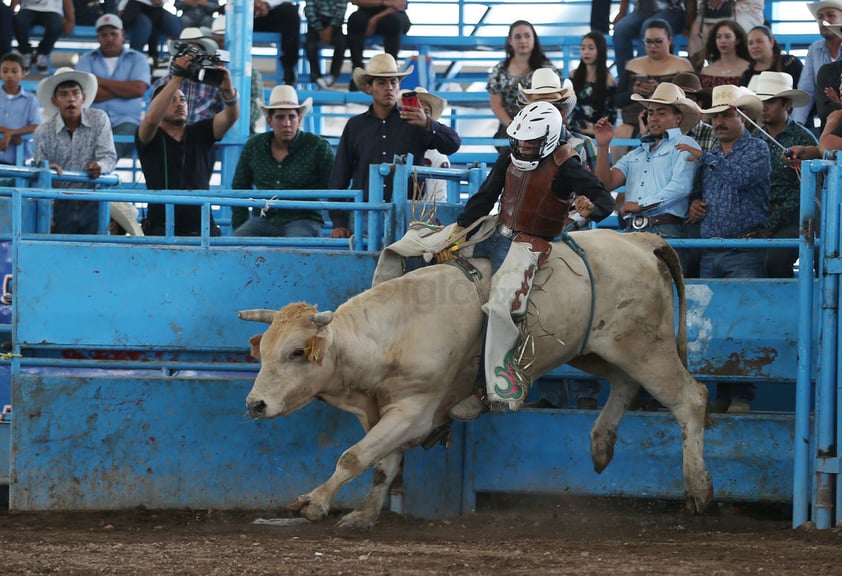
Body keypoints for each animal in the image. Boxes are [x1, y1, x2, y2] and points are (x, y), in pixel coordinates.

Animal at [241, 228, 708, 528]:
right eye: (263, 352)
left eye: (296, 352)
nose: (254, 404)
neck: (394, 331)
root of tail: (641, 241)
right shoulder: (391, 411)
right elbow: (382, 464)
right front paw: (365, 514)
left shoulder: (414, 410)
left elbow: (354, 457)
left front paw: (315, 502)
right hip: (594, 350)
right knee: (624, 383)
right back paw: (601, 446)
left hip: (645, 347)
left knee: (691, 398)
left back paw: (698, 491)